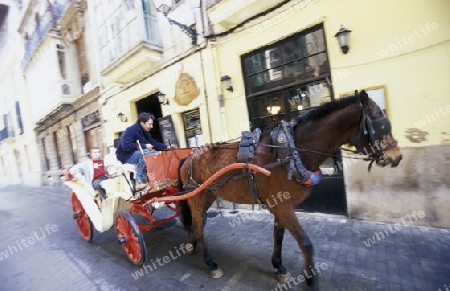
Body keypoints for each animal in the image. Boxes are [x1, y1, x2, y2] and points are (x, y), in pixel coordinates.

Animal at [178, 90, 402, 288]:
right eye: (381, 125)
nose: (397, 157)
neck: (292, 150)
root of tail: (189, 157)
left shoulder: (281, 207)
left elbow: (278, 237)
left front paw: (279, 267)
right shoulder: (283, 207)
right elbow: (306, 243)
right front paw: (311, 280)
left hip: (207, 196)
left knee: (198, 227)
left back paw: (194, 246)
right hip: (197, 198)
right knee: (199, 228)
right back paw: (210, 263)